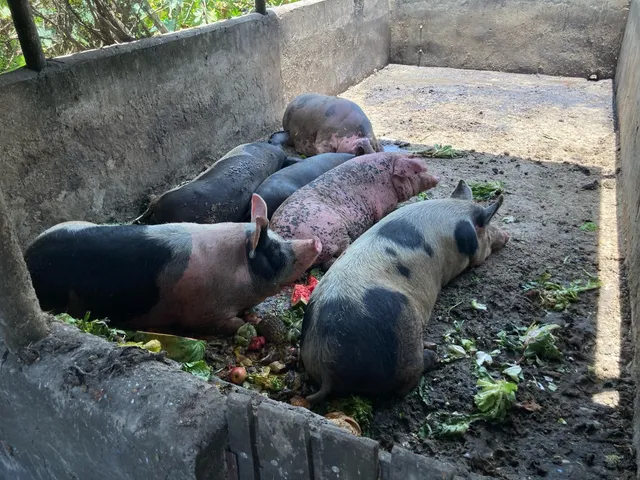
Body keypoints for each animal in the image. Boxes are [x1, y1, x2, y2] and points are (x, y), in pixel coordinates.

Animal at [24, 194, 321, 336]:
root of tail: (28, 256)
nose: (316, 241)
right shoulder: (205, 314)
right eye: (273, 251)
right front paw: (251, 324)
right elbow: (233, 324)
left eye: (279, 238)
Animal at [300, 180, 510, 403]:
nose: (507, 235)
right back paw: (433, 351)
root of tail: (326, 366)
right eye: (488, 227)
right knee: (407, 380)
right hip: (404, 330)